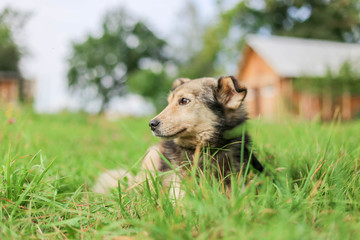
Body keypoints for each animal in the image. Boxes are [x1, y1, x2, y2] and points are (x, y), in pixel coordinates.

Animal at [91, 76, 262, 198]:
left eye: (184, 101)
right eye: (168, 102)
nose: (151, 124)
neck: (205, 149)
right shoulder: (178, 187)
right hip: (152, 158)